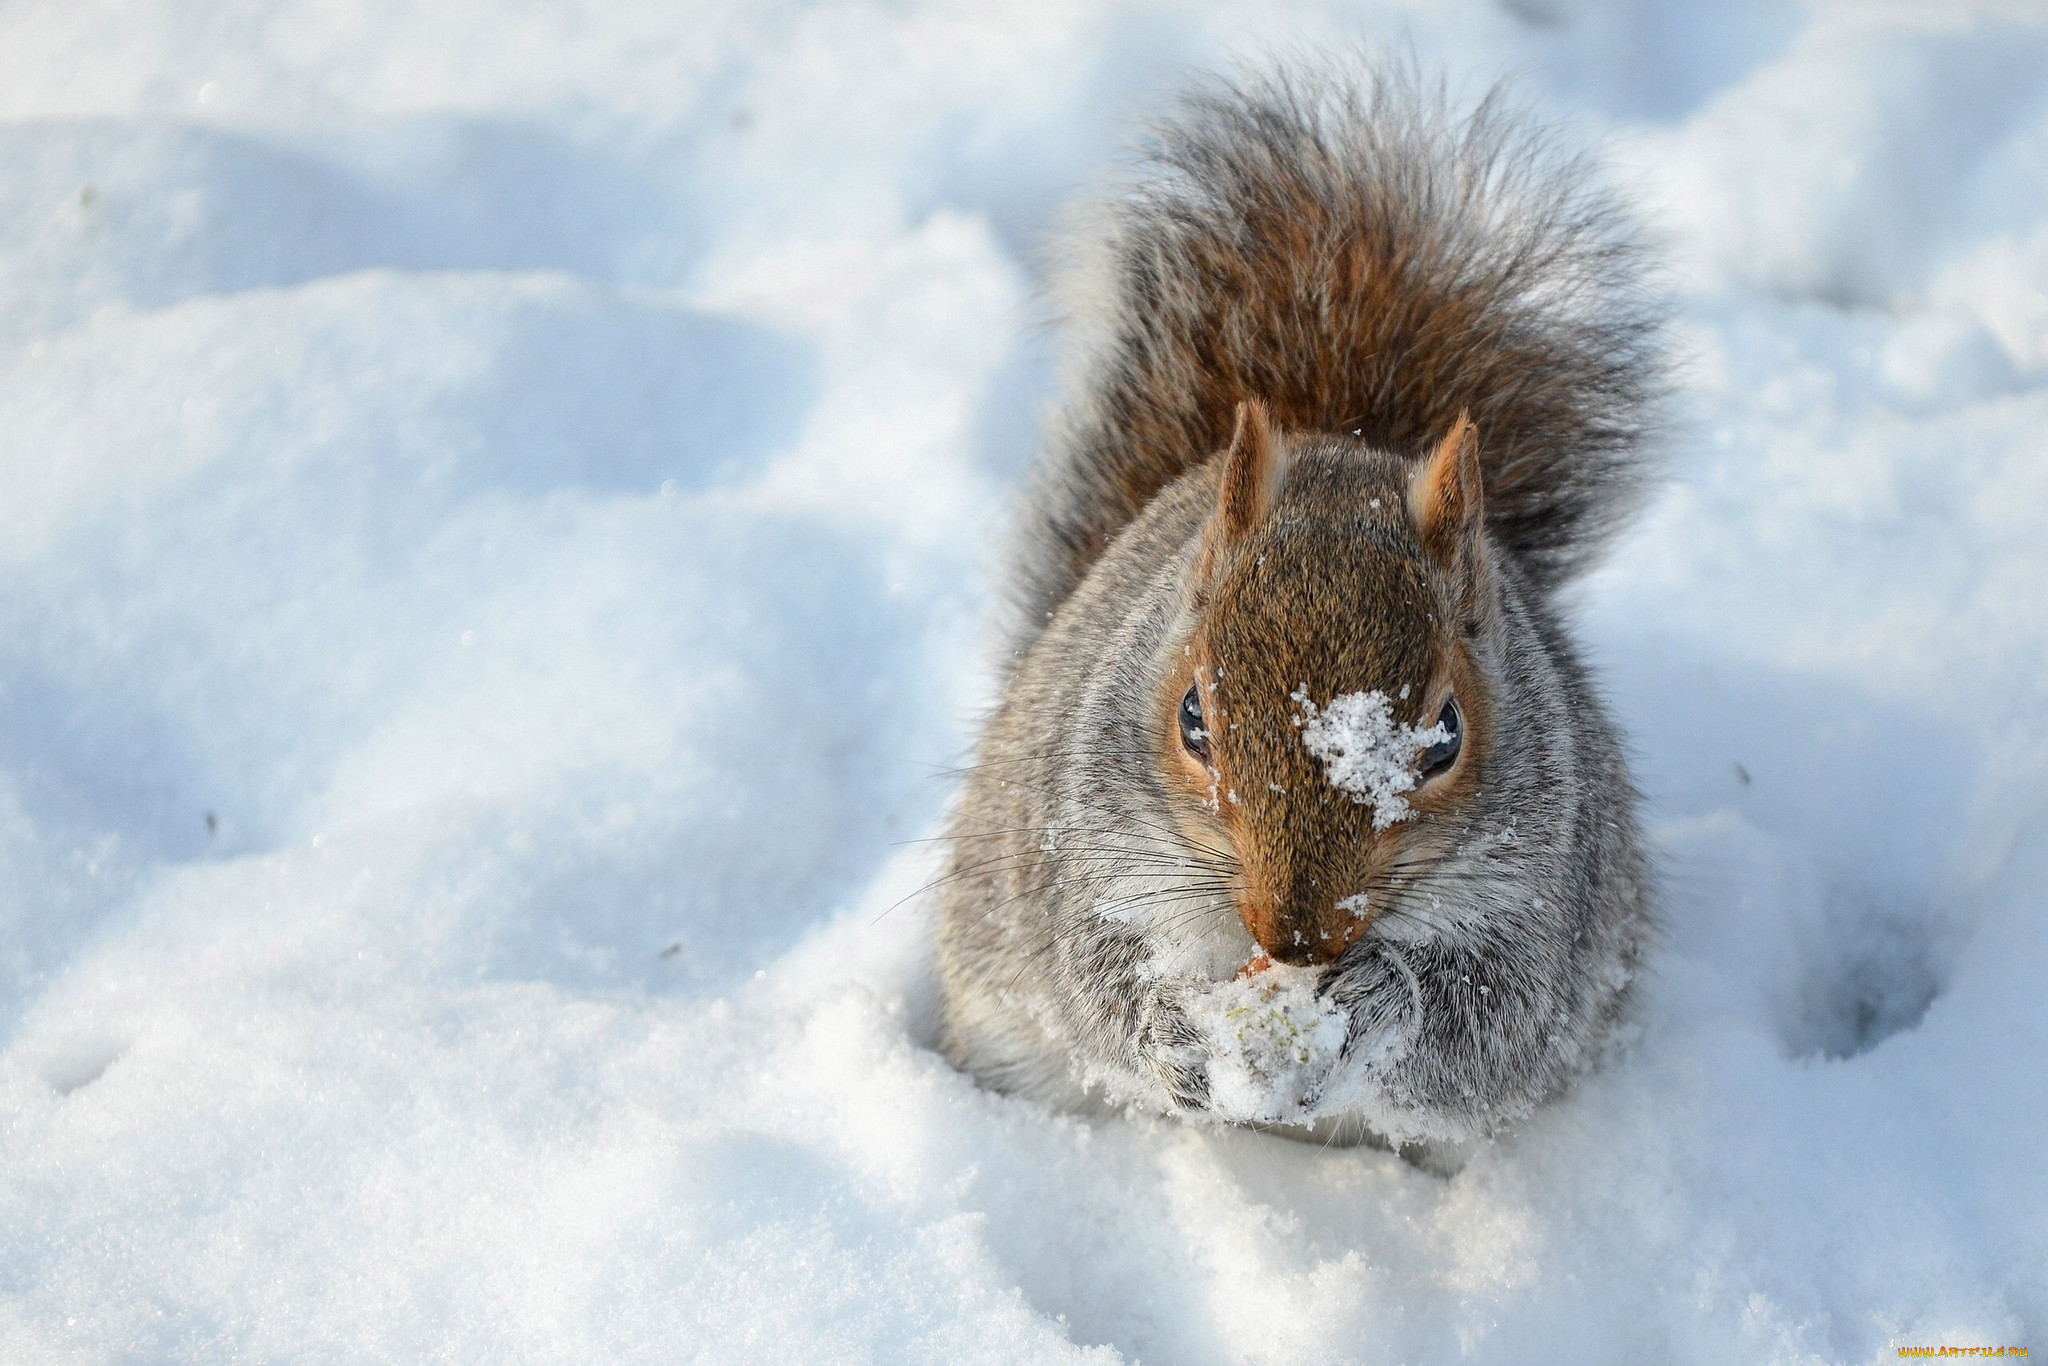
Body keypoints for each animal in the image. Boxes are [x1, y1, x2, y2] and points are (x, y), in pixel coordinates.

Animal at [933, 66, 1662, 1155]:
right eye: (1193, 718)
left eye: (1445, 738)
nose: (1298, 936)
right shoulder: (1080, 859)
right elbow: (1096, 976)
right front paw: (1171, 1033)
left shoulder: (1537, 904)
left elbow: (1479, 1023)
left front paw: (1375, 1001)